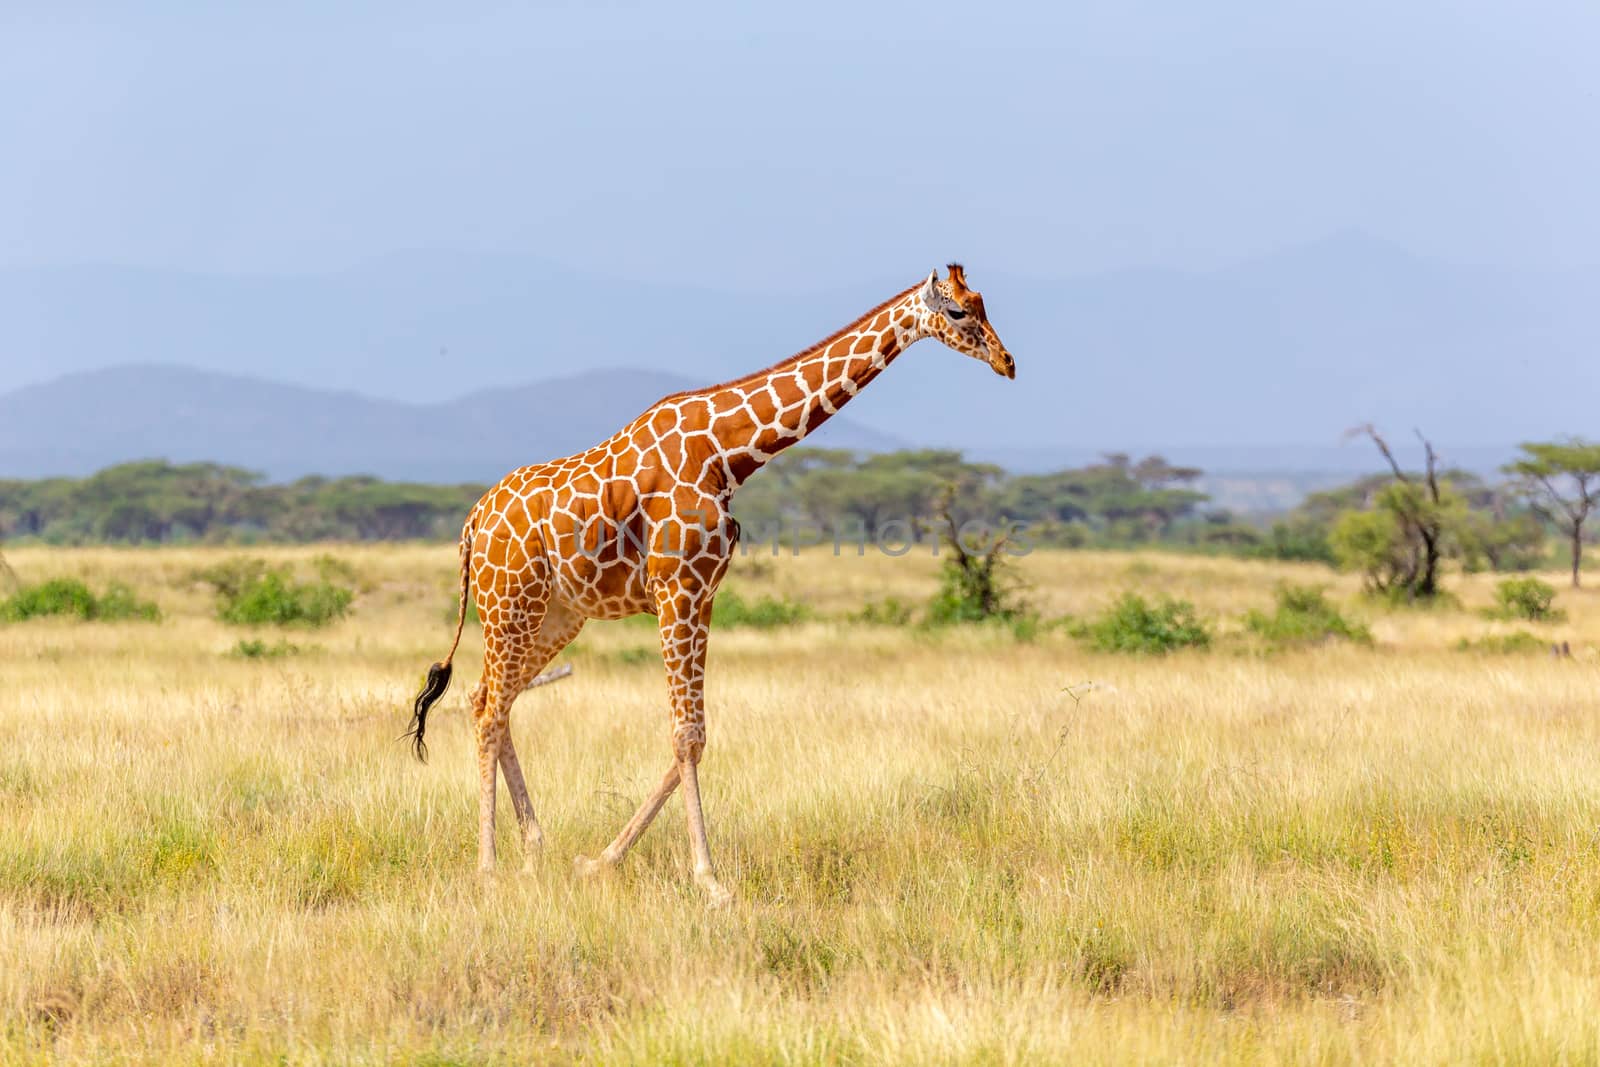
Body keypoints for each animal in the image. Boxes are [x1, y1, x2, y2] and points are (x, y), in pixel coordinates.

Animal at [406, 262, 1017, 908]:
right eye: (958, 312)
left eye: (983, 303)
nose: (1006, 361)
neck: (729, 451)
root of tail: (473, 522)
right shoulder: (677, 587)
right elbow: (686, 736)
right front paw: (709, 879)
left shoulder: (703, 594)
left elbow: (693, 736)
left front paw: (600, 862)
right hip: (510, 602)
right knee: (490, 709)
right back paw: (490, 866)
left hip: (556, 613)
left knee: (487, 700)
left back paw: (535, 851)